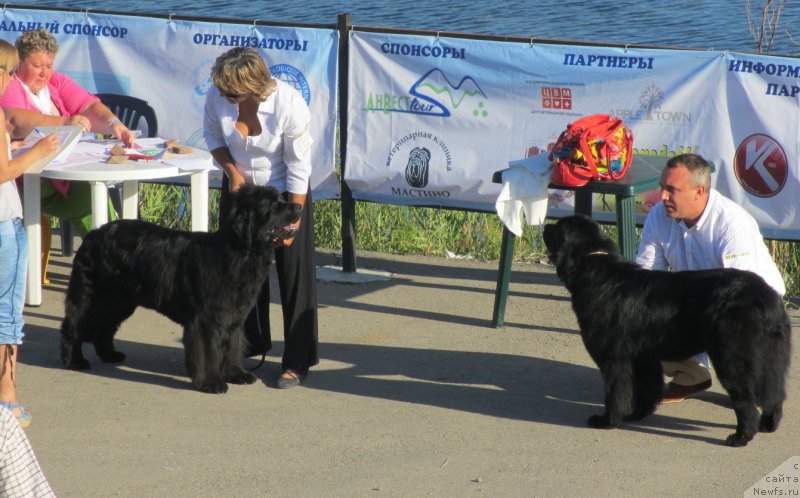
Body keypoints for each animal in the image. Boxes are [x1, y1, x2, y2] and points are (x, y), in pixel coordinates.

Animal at [60, 184, 300, 392]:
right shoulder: (205, 320)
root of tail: (93, 234)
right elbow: (208, 352)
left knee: (105, 328)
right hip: (96, 298)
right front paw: (211, 383)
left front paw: (236, 374)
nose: (298, 207)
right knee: (73, 325)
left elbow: (233, 346)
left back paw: (110, 355)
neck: (241, 252)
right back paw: (74, 361)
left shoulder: (234, 317)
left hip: (120, 302)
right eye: (273, 205)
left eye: (281, 200)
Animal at [540, 215, 792, 448]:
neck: (593, 265)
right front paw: (637, 414)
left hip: (732, 357)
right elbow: (646, 388)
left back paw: (740, 437)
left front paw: (608, 421)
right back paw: (767, 425)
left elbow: (615, 392)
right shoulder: (642, 357)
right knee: (774, 394)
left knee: (745, 401)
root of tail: (766, 297)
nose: (545, 225)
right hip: (773, 358)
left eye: (558, 228)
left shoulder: (614, 359)